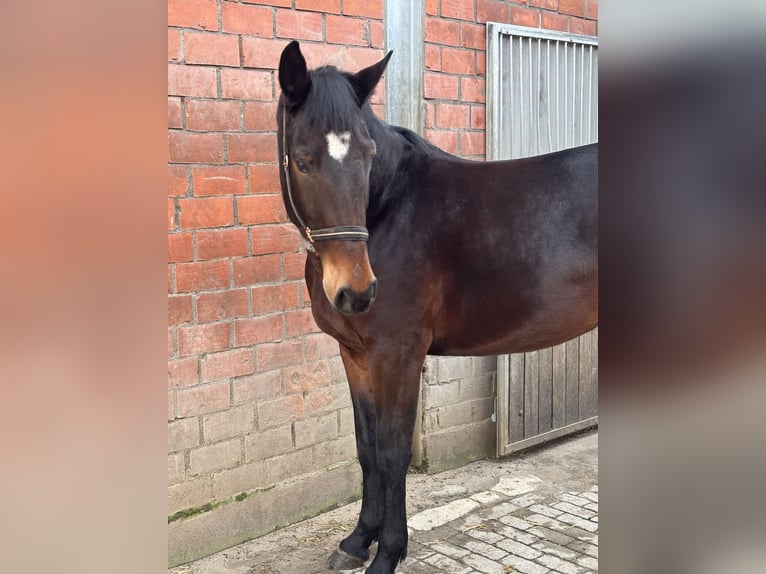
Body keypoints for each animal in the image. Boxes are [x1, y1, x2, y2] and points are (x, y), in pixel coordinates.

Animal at [276, 40, 598, 574]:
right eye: (302, 160)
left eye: (367, 155)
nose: (358, 292)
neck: (392, 207)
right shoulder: (355, 354)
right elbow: (366, 449)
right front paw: (356, 541)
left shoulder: (399, 356)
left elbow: (392, 453)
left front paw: (388, 553)